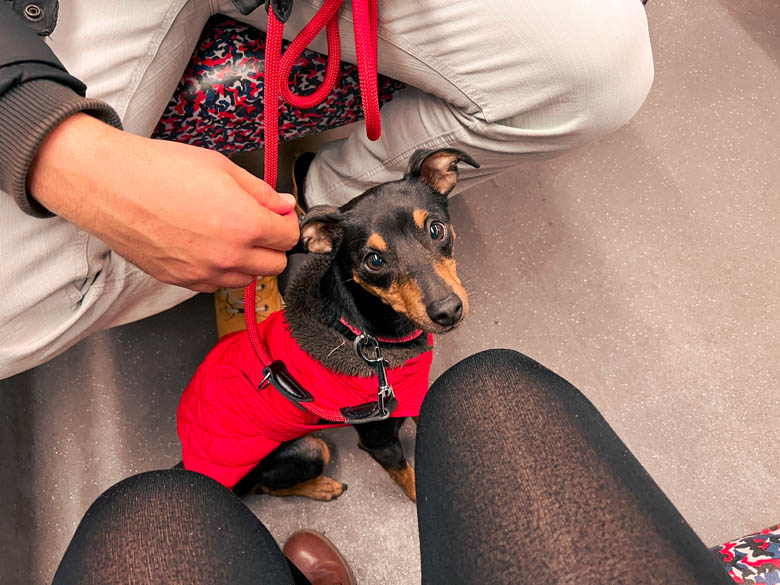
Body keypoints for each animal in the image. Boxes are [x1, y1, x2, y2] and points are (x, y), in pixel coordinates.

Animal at [178, 148, 476, 500]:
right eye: (374, 261)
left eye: (436, 229)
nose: (448, 311)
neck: (366, 333)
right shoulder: (379, 440)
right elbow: (410, 480)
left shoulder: (413, 396)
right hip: (309, 449)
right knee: (266, 488)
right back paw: (322, 487)